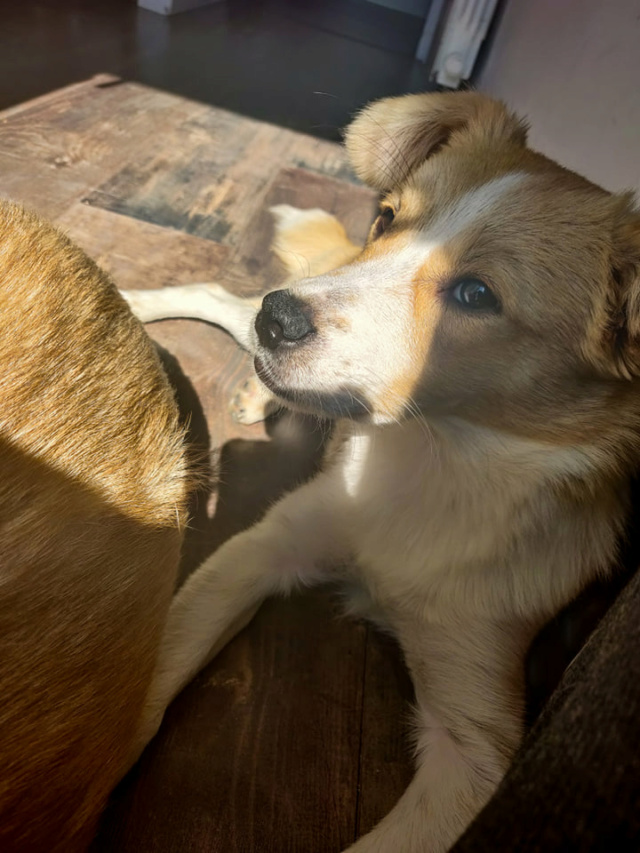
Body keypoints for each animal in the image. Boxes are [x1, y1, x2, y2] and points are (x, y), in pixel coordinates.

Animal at [122, 90, 640, 848]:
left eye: (477, 294)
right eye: (388, 216)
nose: (280, 321)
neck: (431, 456)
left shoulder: (474, 752)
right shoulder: (264, 547)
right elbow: (148, 688)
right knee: (222, 296)